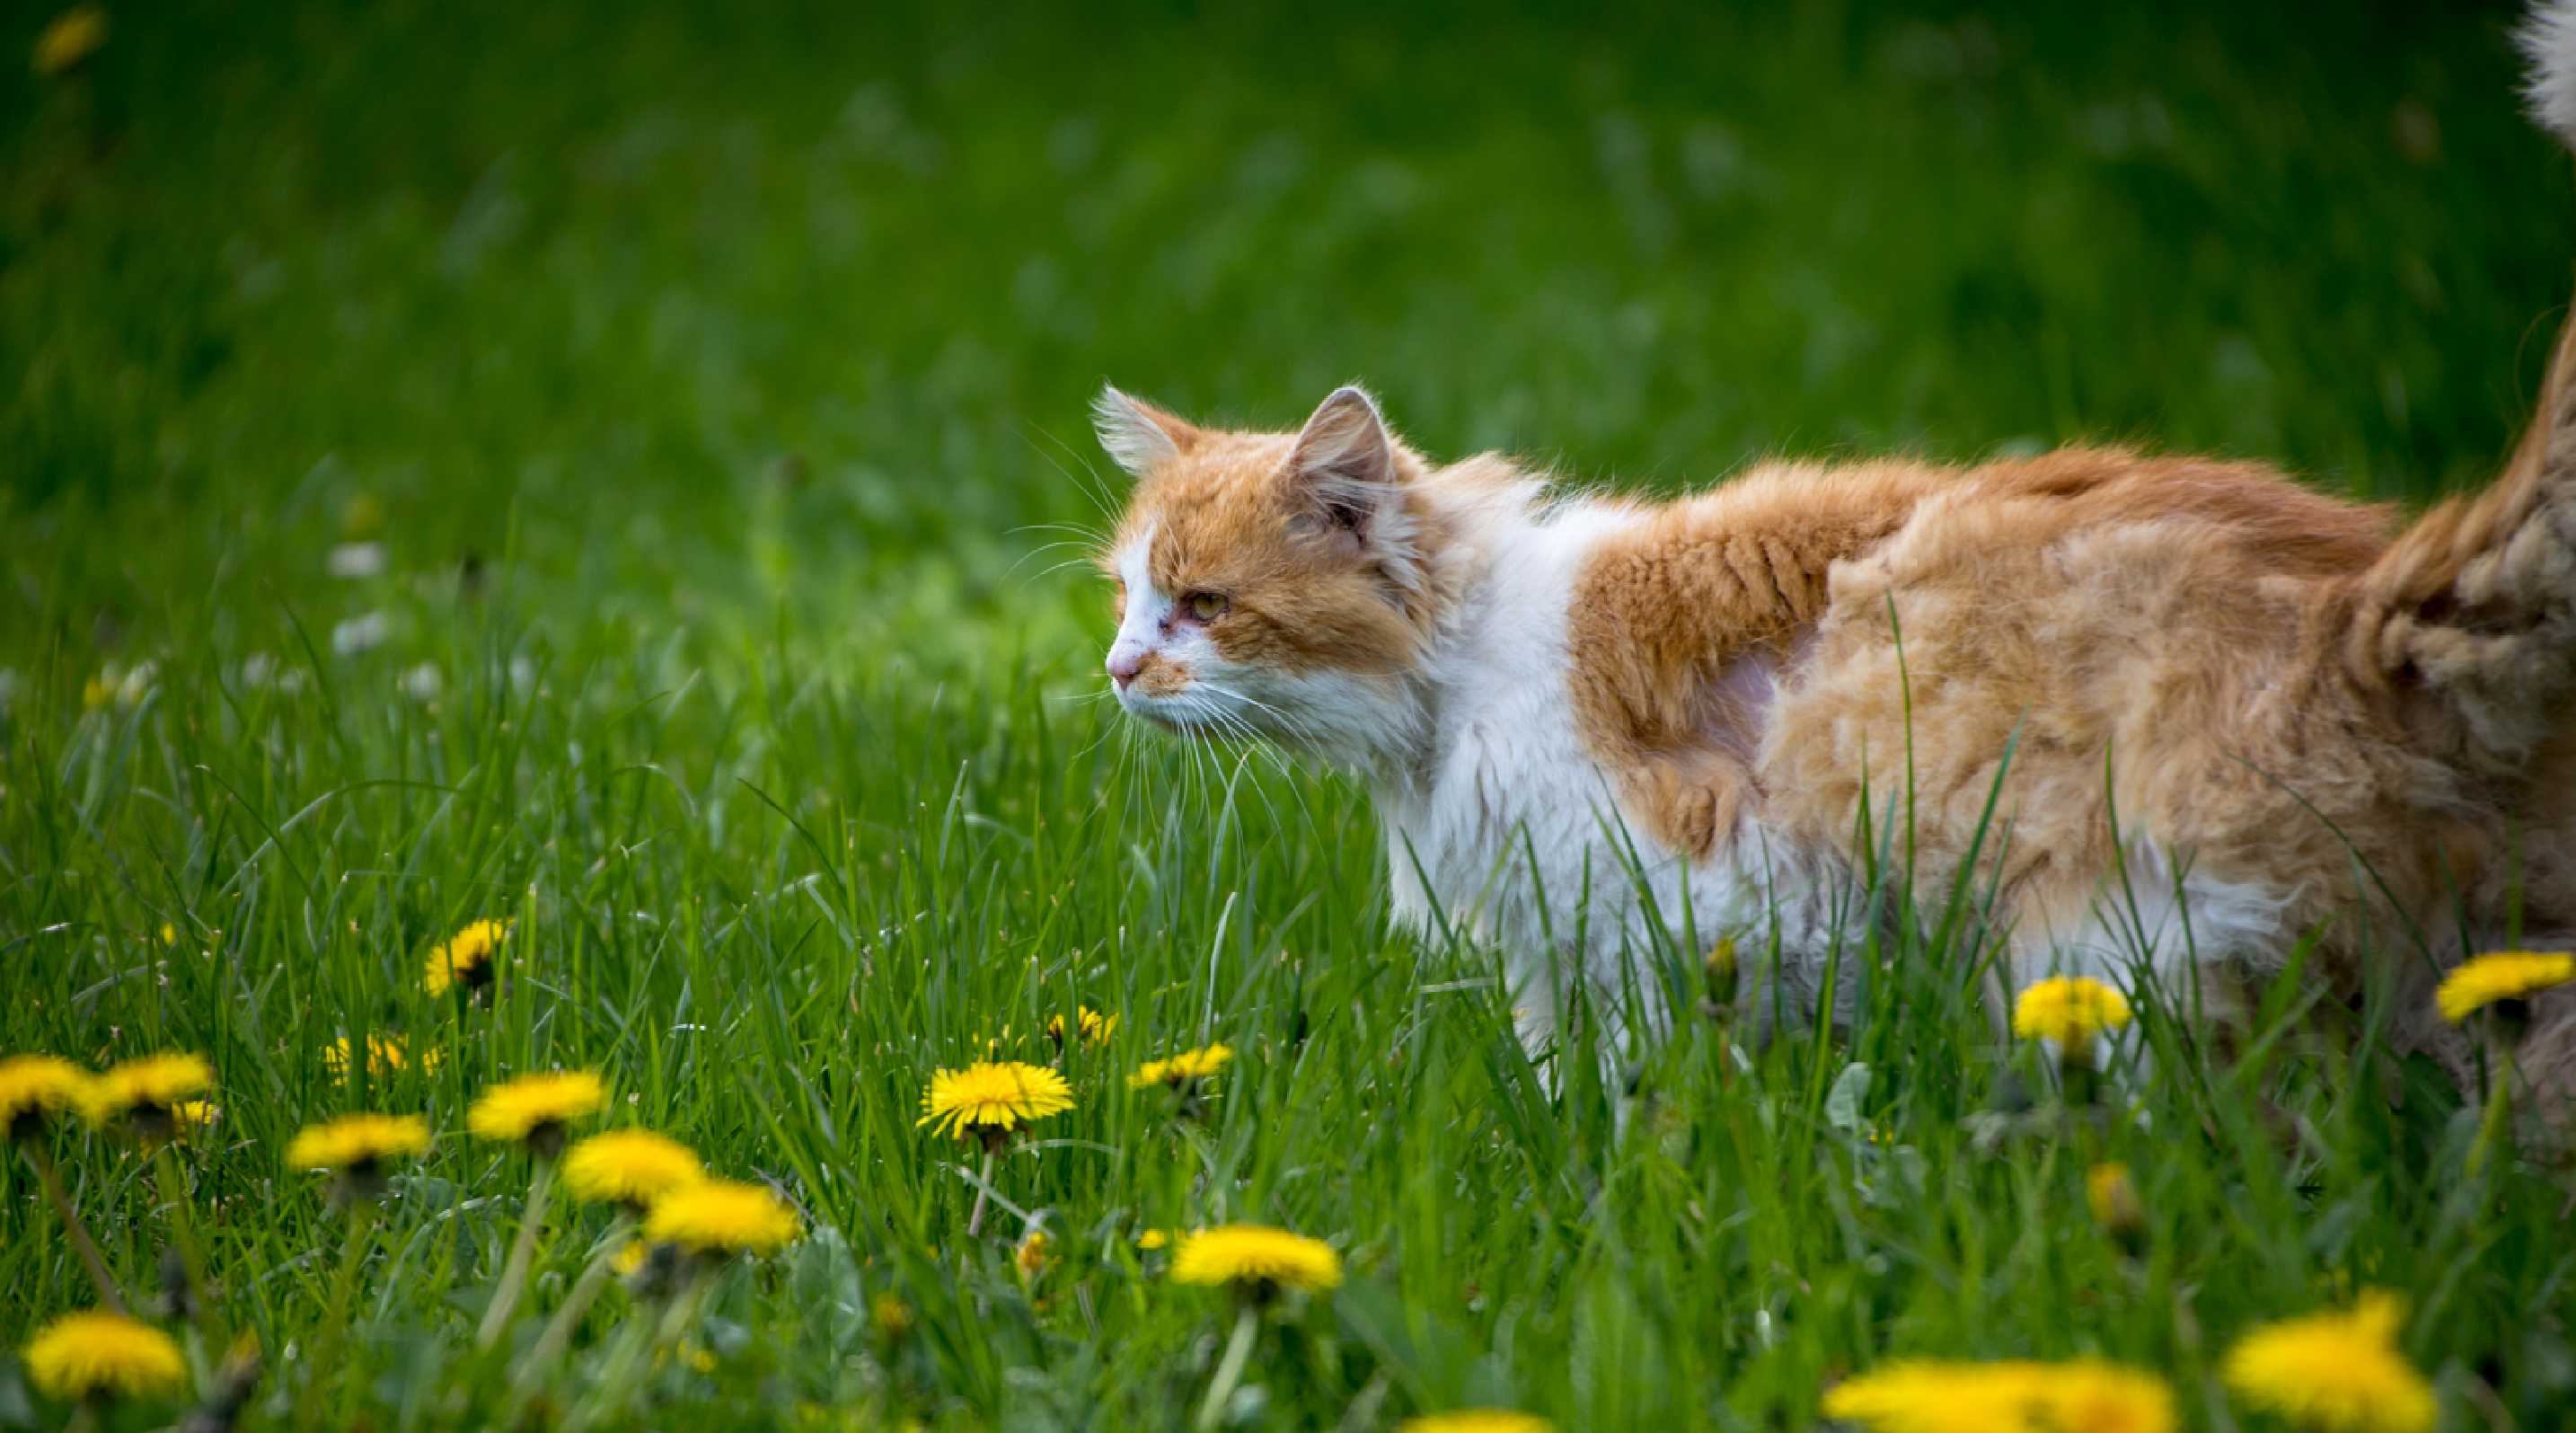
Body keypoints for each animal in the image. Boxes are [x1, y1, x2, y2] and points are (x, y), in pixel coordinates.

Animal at [1092, 11, 2576, 1102]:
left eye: (1204, 605)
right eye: (1130, 597)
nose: (1114, 669)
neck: (1466, 674)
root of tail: (2357, 604)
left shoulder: (1701, 901)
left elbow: (1645, 1087)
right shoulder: (1566, 948)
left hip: (2106, 948)